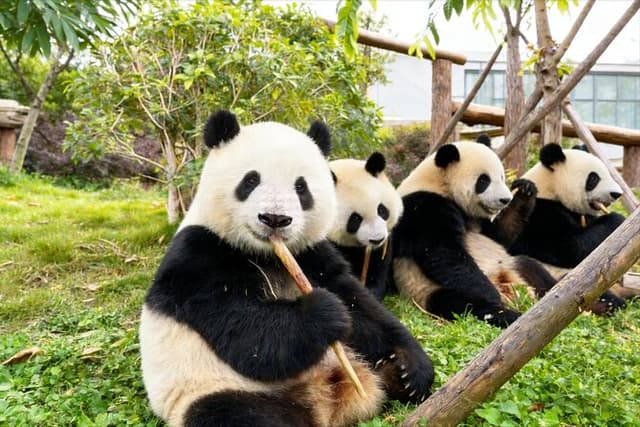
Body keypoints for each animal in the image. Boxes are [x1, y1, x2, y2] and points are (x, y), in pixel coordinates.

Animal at [392, 137, 558, 327]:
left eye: (502, 176)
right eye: (484, 181)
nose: (505, 199)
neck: (440, 183)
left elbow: (499, 236)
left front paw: (525, 191)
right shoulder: (425, 207)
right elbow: (443, 254)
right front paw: (492, 295)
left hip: (509, 265)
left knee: (530, 266)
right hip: (427, 290)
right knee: (466, 305)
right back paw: (510, 313)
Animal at [509, 143, 631, 314]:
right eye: (594, 178)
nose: (617, 194)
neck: (551, 189)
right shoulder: (539, 215)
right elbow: (570, 248)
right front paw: (618, 220)